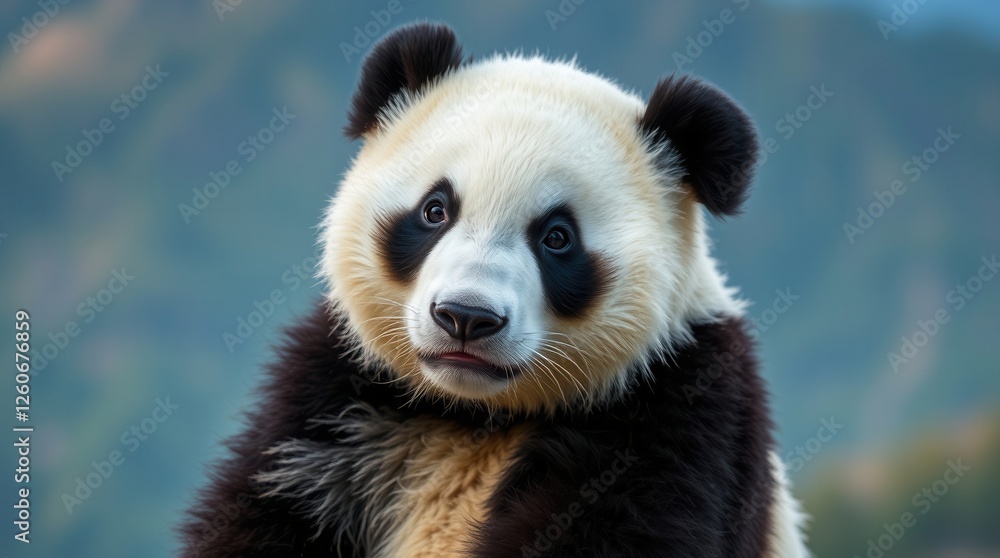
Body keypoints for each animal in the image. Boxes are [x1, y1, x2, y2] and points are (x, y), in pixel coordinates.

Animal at [181, 22, 809, 558]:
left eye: (557, 237)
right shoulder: (332, 394)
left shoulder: (685, 403)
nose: (465, 316)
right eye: (435, 210)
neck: (476, 413)